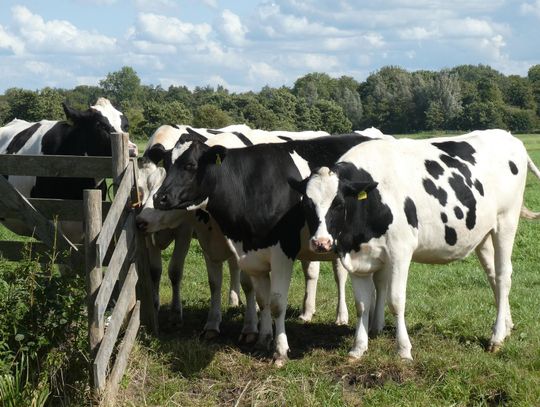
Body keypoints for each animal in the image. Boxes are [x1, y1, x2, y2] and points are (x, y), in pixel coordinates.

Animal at [150, 134, 374, 366]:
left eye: (190, 165)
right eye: (166, 164)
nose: (159, 198)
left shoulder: (283, 253)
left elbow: (277, 303)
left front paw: (280, 351)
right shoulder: (252, 254)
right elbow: (262, 300)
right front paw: (263, 340)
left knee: (342, 276)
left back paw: (343, 318)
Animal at [292, 130, 540, 360]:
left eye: (339, 203)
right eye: (307, 204)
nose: (321, 242)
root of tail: (506, 135)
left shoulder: (400, 251)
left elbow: (396, 300)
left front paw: (403, 350)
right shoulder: (355, 255)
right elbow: (361, 304)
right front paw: (358, 348)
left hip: (506, 221)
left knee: (503, 275)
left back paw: (496, 337)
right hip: (484, 233)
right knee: (493, 276)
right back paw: (506, 327)